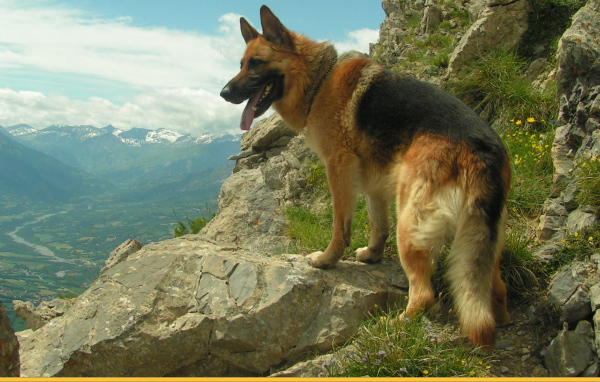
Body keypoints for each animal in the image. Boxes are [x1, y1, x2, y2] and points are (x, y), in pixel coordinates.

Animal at [220, 5, 510, 350]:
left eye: (256, 63)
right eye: (240, 64)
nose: (223, 93)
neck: (318, 80)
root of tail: (484, 149)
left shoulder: (339, 168)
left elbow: (340, 225)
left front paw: (329, 259)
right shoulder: (373, 180)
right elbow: (377, 223)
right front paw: (372, 254)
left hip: (410, 225)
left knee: (424, 294)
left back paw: (396, 326)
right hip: (476, 239)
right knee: (493, 288)